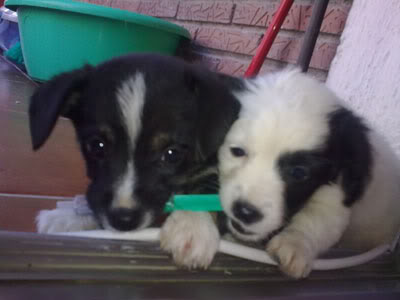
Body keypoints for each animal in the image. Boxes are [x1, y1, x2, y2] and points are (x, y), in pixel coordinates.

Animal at [29, 53, 242, 251]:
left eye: (172, 154)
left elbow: (206, 189)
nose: (123, 220)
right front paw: (68, 216)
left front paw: (192, 225)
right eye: (97, 146)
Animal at [217, 68, 400, 278]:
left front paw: (294, 244)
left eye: (299, 173)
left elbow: (320, 217)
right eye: (237, 151)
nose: (245, 212)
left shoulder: (337, 190)